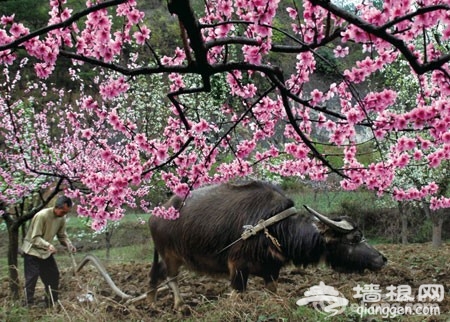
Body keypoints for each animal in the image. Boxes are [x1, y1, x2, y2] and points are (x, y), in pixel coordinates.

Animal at [149, 180, 386, 308]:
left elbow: (273, 291)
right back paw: (180, 306)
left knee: (158, 272)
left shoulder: (272, 270)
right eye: (355, 238)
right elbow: (237, 294)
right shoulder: (237, 268)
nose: (382, 258)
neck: (273, 228)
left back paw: (152, 297)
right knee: (170, 277)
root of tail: (157, 213)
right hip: (170, 254)